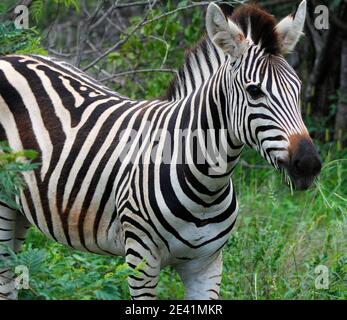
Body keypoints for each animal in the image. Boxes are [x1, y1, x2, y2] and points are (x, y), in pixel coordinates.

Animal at [0, 0, 324, 300]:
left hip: (19, 207)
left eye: (297, 88)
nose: (308, 163)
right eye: (254, 91)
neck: (207, 186)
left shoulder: (207, 266)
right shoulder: (141, 260)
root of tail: (12, 57)